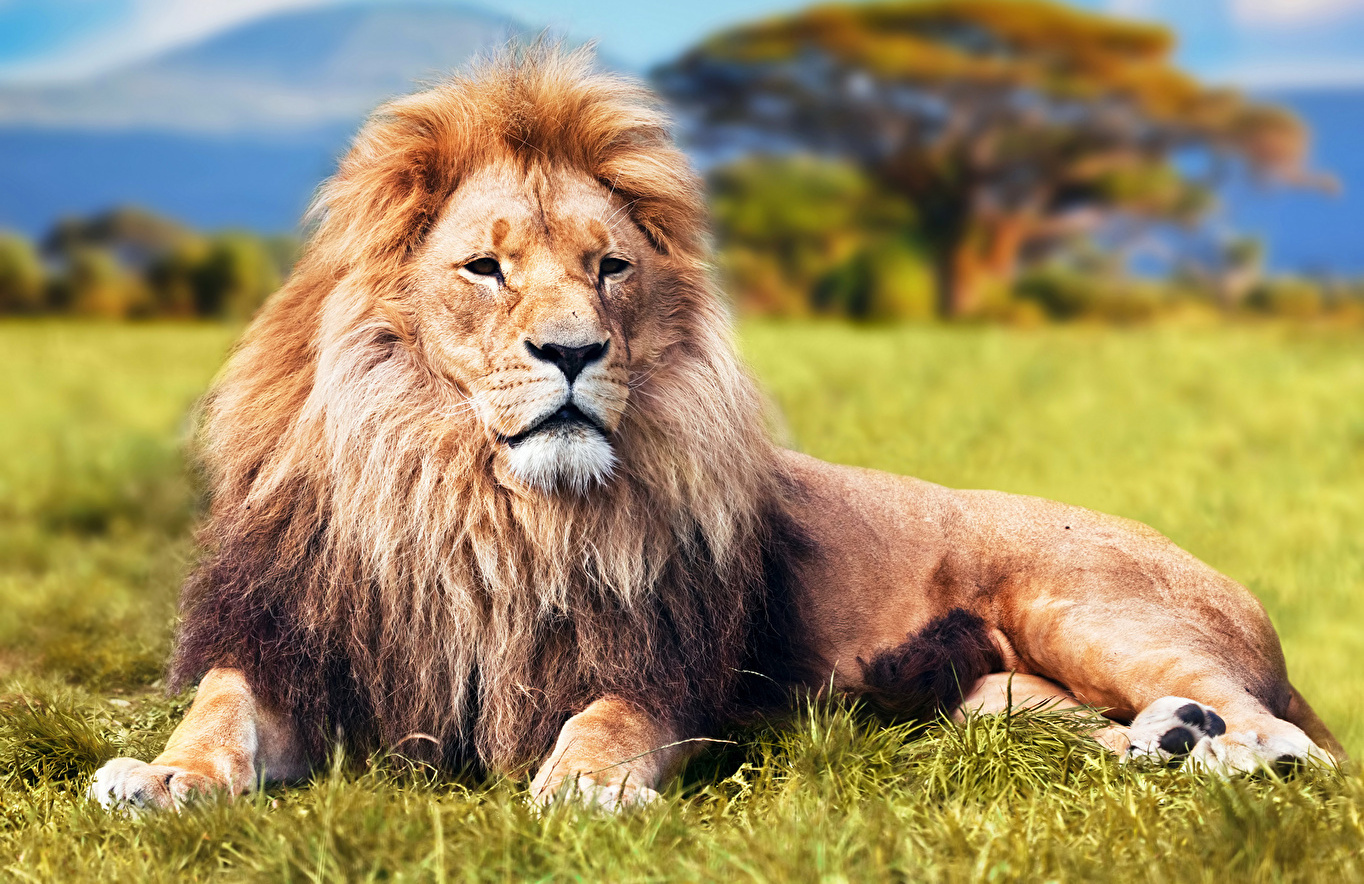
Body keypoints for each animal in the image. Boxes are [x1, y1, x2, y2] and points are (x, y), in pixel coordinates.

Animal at [90, 47, 1342, 813]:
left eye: (608, 268)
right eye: (485, 267)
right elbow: (217, 712)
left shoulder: (657, 668)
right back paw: (1166, 741)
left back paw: (1228, 749)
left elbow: (605, 720)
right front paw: (158, 777)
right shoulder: (295, 644)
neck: (477, 505)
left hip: (1080, 602)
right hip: (991, 696)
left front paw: (584, 785)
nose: (573, 352)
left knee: (1287, 736)